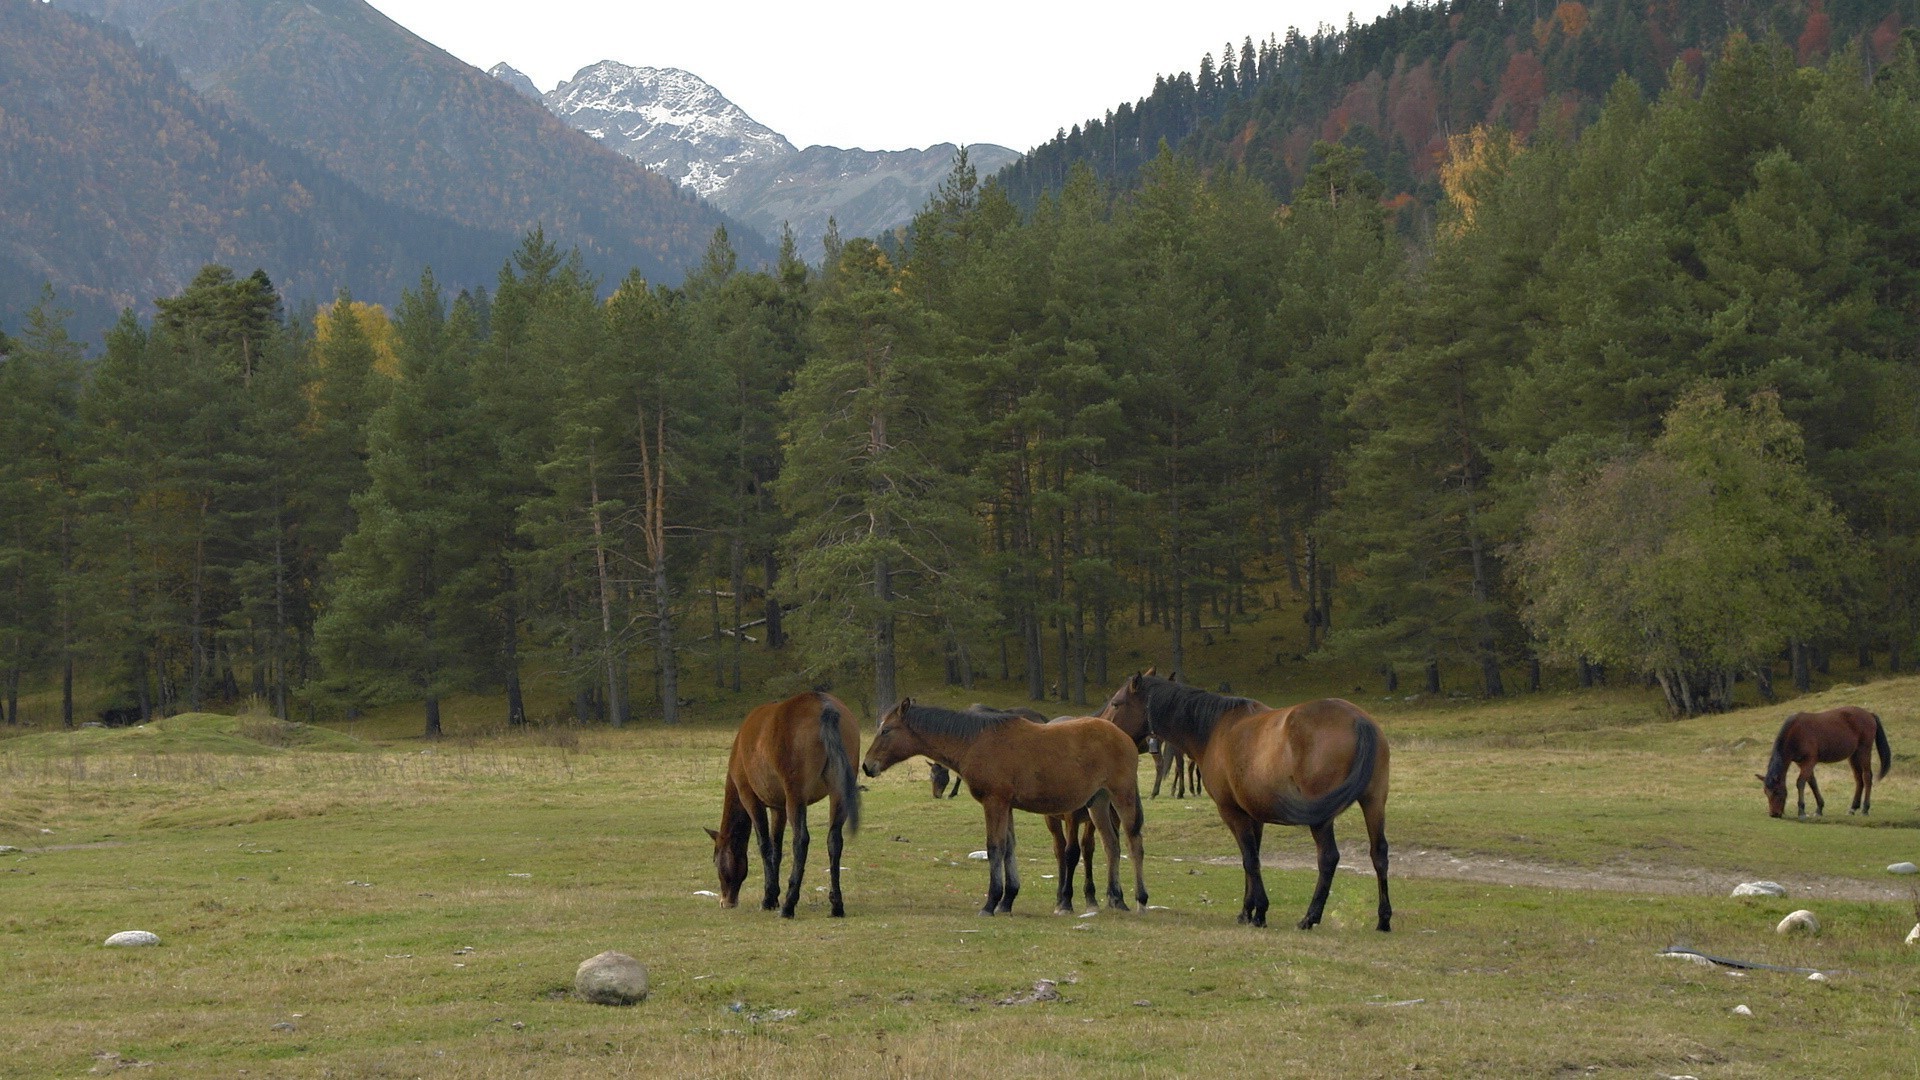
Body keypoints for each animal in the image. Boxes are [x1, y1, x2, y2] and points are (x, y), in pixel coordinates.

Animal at [706, 691, 861, 918]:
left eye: (716, 860)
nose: (726, 901)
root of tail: (825, 707)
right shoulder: (778, 807)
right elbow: (777, 848)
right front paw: (774, 894)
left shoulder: (750, 797)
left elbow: (765, 845)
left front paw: (769, 898)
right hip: (838, 792)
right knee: (834, 840)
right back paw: (836, 905)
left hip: (796, 795)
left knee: (801, 840)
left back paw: (789, 905)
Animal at [862, 699, 1147, 915]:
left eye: (886, 730)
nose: (867, 765)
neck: (975, 742)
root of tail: (1124, 737)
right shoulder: (1007, 805)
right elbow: (1009, 847)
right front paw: (1008, 900)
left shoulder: (995, 802)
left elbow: (995, 847)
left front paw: (991, 902)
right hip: (1098, 802)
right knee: (1112, 845)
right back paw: (1115, 898)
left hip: (1122, 796)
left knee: (1133, 843)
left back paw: (1140, 899)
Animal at [1101, 672, 1391, 931]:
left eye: (1116, 703)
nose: (1102, 725)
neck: (1214, 729)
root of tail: (1359, 720)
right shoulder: (1253, 817)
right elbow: (1252, 862)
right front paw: (1247, 911)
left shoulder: (1232, 813)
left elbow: (1250, 860)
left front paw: (1259, 912)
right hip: (1374, 803)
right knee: (1379, 854)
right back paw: (1383, 919)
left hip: (1322, 818)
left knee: (1328, 858)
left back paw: (1310, 917)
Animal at [1757, 706, 1892, 818]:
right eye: (1766, 792)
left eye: (1776, 792)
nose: (1774, 814)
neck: (1795, 733)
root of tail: (1869, 714)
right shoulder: (1802, 763)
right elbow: (1812, 782)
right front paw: (1819, 808)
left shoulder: (1809, 761)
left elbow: (1801, 782)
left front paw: (1801, 811)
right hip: (1853, 756)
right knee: (1859, 779)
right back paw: (1853, 808)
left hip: (1864, 751)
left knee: (1867, 777)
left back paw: (1865, 809)